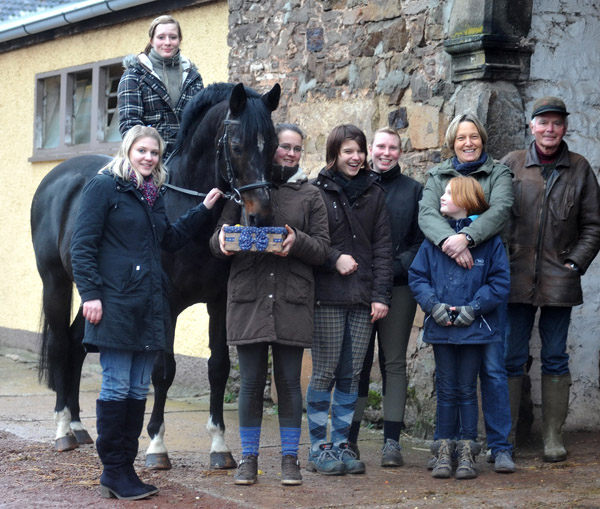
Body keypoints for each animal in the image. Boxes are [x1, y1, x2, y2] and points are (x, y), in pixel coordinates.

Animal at [29, 82, 280, 468]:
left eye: (275, 144)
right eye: (237, 145)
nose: (261, 216)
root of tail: (56, 178)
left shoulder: (219, 301)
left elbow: (218, 367)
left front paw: (219, 446)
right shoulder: (165, 303)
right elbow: (163, 370)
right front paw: (157, 446)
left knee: (75, 342)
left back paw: (79, 425)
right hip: (55, 282)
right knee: (59, 344)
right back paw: (62, 430)